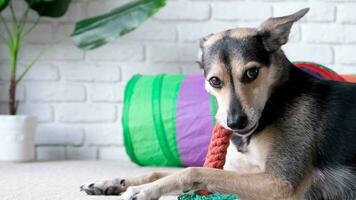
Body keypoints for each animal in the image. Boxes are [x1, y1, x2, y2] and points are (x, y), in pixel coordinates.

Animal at [80, 8, 356, 199]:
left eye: (252, 73)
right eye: (214, 81)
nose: (235, 122)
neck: (276, 101)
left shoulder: (280, 182)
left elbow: (191, 171)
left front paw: (146, 190)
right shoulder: (248, 173)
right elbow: (162, 171)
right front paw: (112, 182)